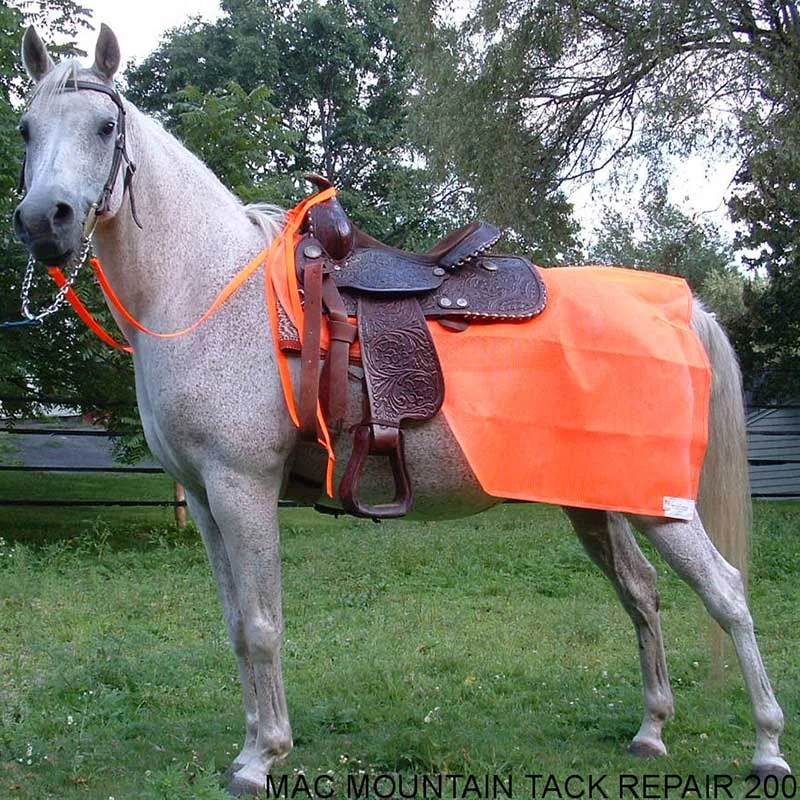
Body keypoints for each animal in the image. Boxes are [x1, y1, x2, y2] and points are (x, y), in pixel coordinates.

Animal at [12, 24, 790, 797]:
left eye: (105, 126)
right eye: (26, 128)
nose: (43, 220)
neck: (208, 289)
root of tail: (676, 307)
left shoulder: (242, 487)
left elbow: (262, 624)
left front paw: (264, 757)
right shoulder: (205, 497)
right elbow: (236, 624)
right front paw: (247, 746)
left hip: (661, 506)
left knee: (726, 593)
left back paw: (767, 747)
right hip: (596, 501)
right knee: (641, 591)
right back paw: (652, 731)